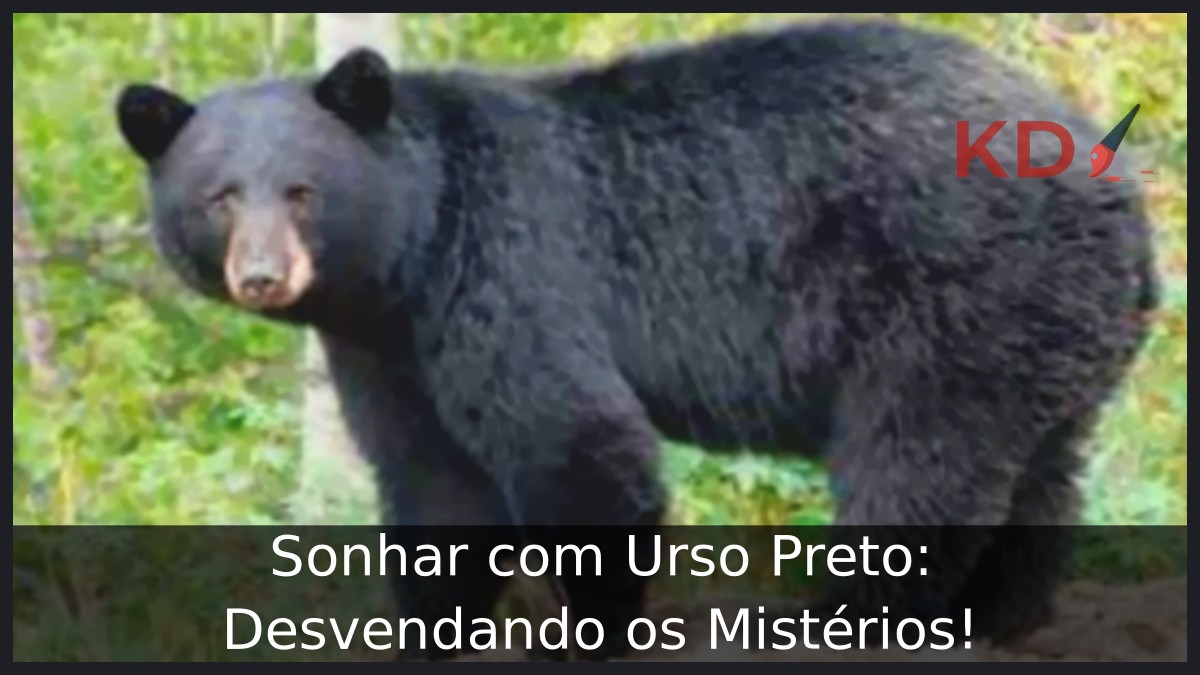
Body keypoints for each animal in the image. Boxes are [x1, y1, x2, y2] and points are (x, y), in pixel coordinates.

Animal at [114, 19, 1158, 660]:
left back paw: (846, 616)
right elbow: (434, 480)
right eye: (218, 196)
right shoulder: (387, 348)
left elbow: (576, 442)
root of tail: (1121, 193)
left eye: (302, 190)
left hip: (951, 296)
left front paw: (595, 627)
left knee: (917, 461)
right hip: (1043, 324)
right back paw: (1006, 614)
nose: (262, 275)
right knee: (1042, 468)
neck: (410, 255)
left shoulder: (510, 268)